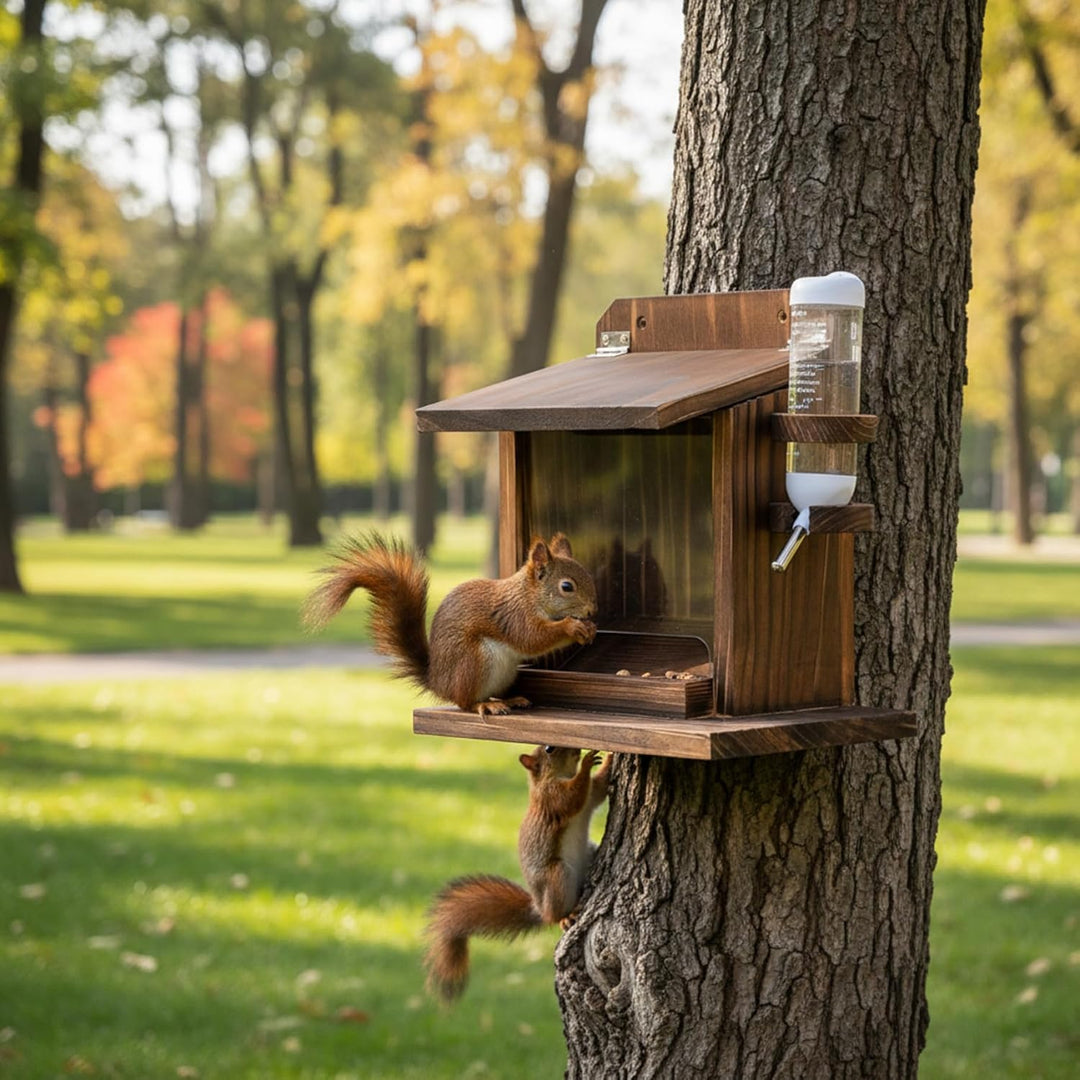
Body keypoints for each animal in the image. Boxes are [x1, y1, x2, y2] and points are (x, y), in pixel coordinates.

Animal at [302, 531, 598, 716]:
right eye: (567, 587)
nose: (592, 610)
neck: (530, 596)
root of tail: (437, 681)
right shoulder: (514, 616)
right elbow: (532, 638)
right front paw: (572, 627)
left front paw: (590, 628)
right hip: (472, 662)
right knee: (465, 703)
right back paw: (485, 707)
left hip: (501, 672)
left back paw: (508, 700)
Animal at [424, 745, 612, 1001]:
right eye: (549, 749)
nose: (576, 749)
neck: (559, 775)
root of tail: (539, 907)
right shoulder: (550, 797)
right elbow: (570, 798)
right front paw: (586, 763)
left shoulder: (591, 795)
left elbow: (599, 787)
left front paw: (612, 757)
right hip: (557, 875)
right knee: (554, 914)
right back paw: (564, 917)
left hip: (589, 853)